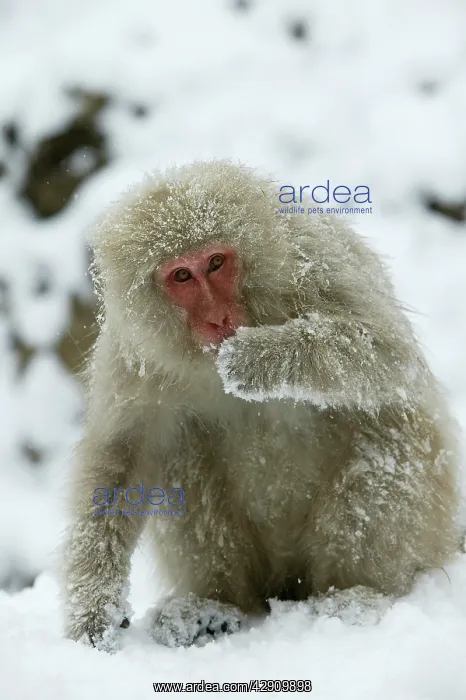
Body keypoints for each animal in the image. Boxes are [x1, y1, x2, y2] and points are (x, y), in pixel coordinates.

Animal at [63, 159, 460, 651]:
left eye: (216, 263)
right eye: (181, 276)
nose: (218, 318)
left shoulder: (317, 259)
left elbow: (389, 355)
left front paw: (260, 358)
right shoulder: (133, 354)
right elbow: (121, 461)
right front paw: (93, 609)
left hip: (426, 527)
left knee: (386, 427)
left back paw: (355, 594)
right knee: (180, 450)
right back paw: (214, 606)